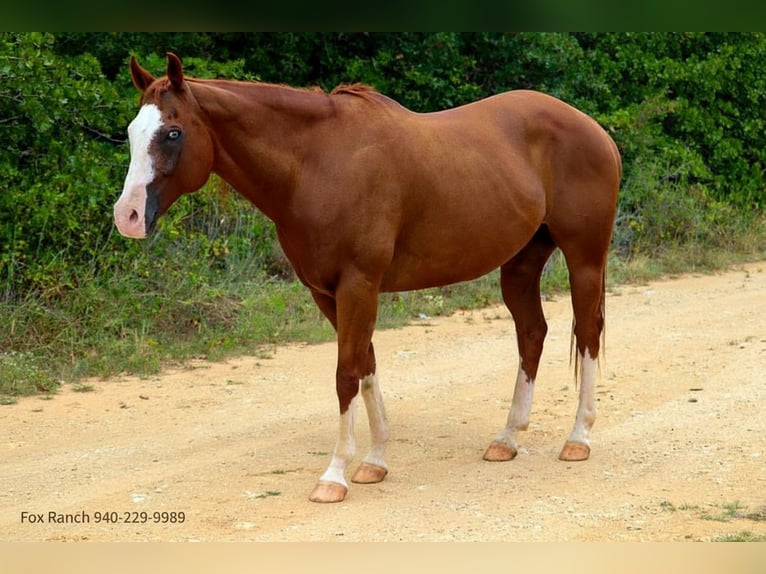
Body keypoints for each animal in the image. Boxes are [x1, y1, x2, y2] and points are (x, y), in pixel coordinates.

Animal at [114, 53, 621, 503]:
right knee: (532, 333)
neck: (315, 163)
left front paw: (334, 476)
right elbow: (366, 367)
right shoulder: (327, 293)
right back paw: (508, 438)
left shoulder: (359, 284)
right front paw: (375, 462)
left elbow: (346, 375)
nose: (128, 216)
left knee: (588, 334)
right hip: (520, 264)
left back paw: (578, 438)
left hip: (584, 258)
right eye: (132, 133)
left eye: (173, 132)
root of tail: (596, 131)